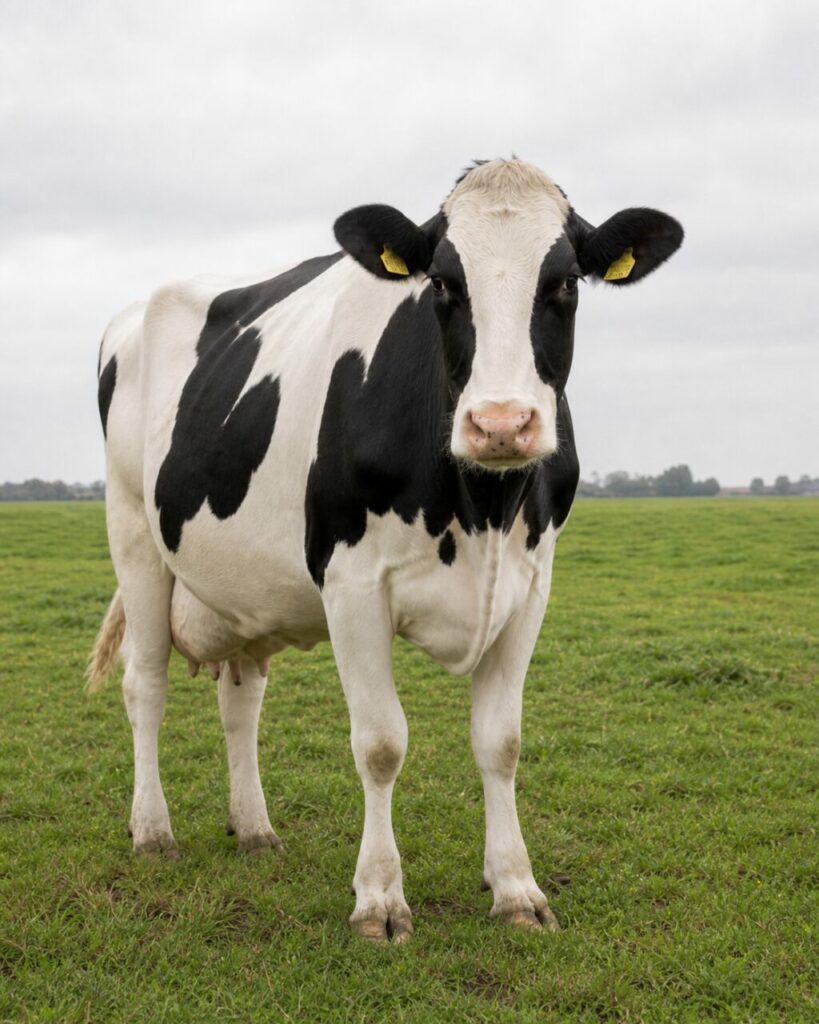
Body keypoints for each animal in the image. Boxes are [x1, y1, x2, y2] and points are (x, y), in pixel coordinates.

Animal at [88, 158, 683, 942]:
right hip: (134, 532)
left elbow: (501, 741)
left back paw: (255, 829)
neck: (482, 508)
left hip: (242, 587)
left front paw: (516, 889)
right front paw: (378, 900)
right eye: (442, 284)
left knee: (240, 699)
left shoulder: (531, 585)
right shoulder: (352, 585)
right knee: (145, 684)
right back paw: (153, 831)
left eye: (562, 283)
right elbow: (379, 744)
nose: (500, 424)